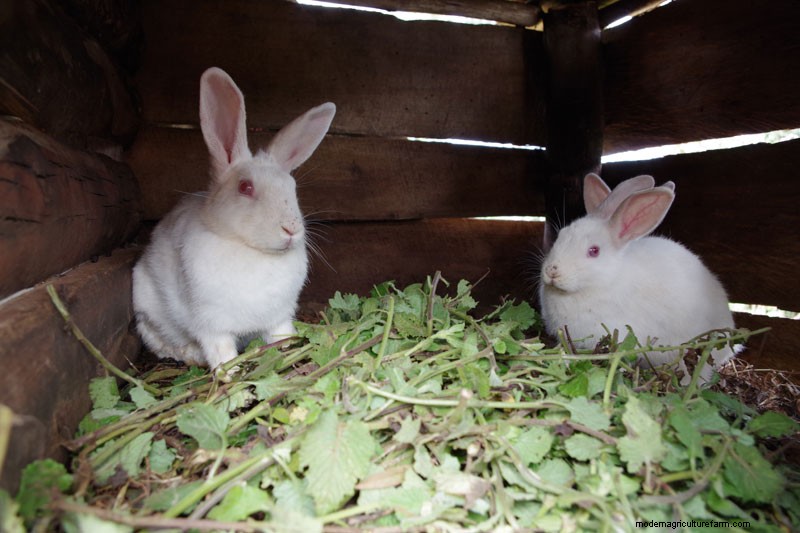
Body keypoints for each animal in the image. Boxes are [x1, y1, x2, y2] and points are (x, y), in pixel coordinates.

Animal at [132, 67, 336, 368]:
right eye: (245, 187)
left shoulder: (280, 317)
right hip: (146, 305)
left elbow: (281, 336)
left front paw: (289, 349)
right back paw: (190, 355)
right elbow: (221, 351)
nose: (291, 229)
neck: (252, 251)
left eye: (292, 187)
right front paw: (229, 371)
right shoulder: (211, 325)